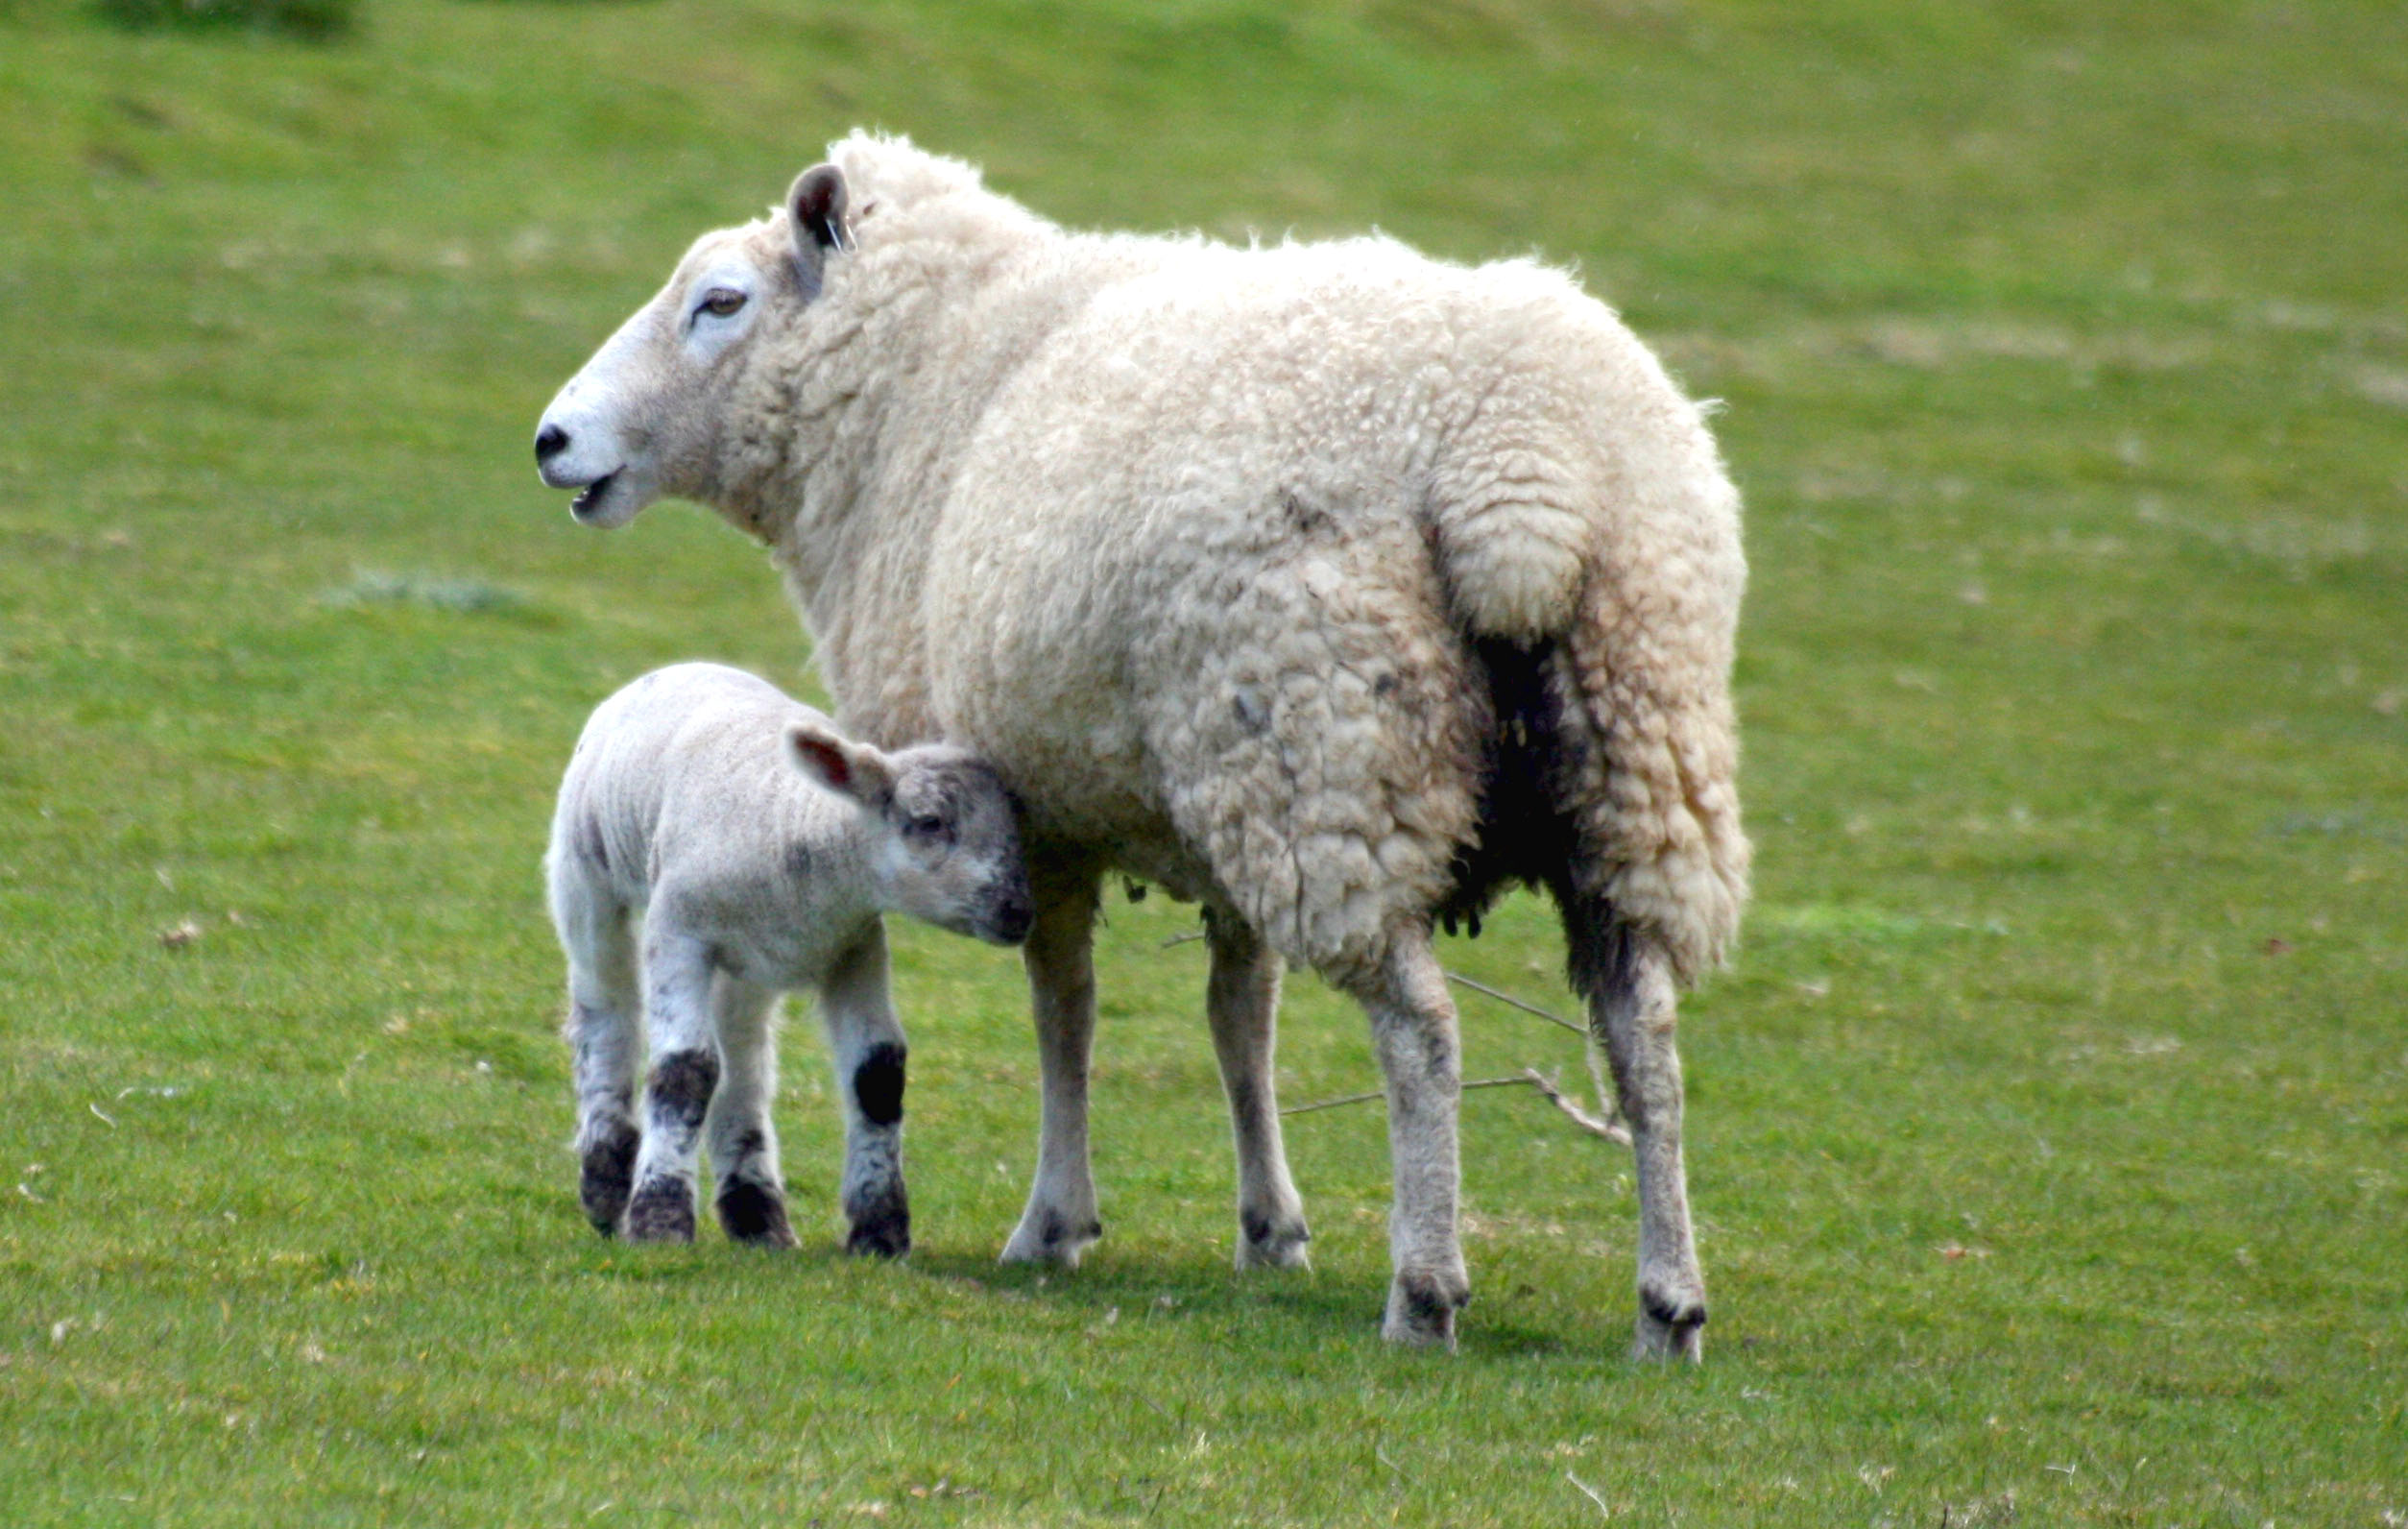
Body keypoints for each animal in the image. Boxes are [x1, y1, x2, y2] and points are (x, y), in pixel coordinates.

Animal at [546, 659, 1035, 1251]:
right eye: (929, 822)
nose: (1017, 910)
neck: (796, 823)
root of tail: (684, 665)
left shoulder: (855, 946)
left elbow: (877, 1073)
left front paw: (881, 1229)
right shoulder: (677, 932)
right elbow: (685, 1068)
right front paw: (659, 1219)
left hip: (750, 967)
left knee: (742, 1058)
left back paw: (756, 1211)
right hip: (583, 873)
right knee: (606, 1011)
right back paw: (605, 1182)